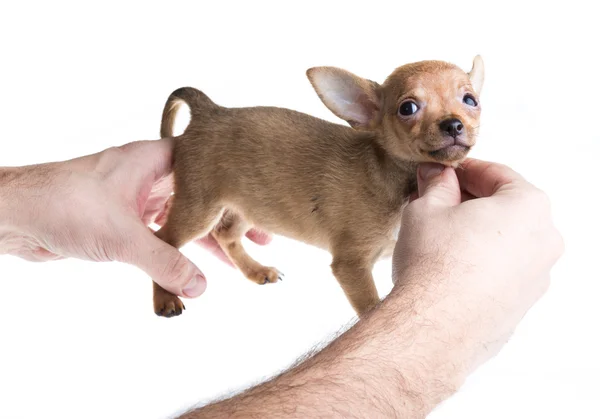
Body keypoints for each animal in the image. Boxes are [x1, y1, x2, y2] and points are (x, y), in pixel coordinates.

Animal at [152, 55, 486, 318]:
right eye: (408, 108)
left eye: (471, 101)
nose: (453, 124)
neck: (398, 178)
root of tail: (210, 111)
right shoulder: (351, 266)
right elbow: (371, 309)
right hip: (199, 207)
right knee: (163, 239)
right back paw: (165, 298)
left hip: (250, 206)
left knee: (226, 235)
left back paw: (256, 271)